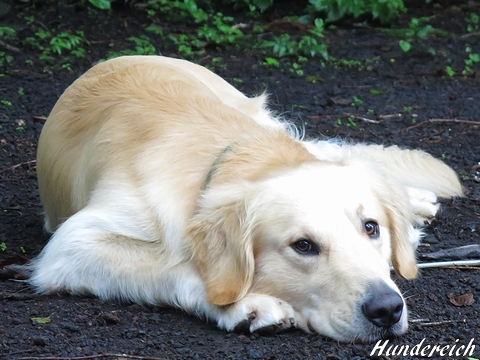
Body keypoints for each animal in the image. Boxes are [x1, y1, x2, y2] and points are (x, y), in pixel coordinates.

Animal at [29, 54, 462, 342]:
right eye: (303, 246)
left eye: (371, 228)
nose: (387, 309)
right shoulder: (73, 244)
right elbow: (171, 265)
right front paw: (247, 303)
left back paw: (414, 201)